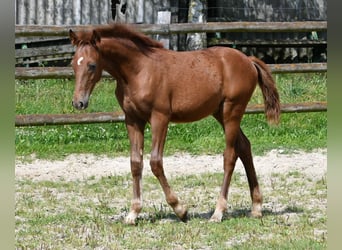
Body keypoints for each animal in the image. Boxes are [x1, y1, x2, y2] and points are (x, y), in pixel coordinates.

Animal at [69, 23, 280, 225]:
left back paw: (218, 212)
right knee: (244, 146)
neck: (139, 71)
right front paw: (133, 213)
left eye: (92, 65)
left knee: (230, 156)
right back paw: (256, 207)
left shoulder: (160, 117)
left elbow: (155, 162)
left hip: (232, 111)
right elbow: (135, 163)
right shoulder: (133, 119)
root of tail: (248, 60)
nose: (79, 102)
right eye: (73, 64)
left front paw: (180, 209)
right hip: (219, 113)